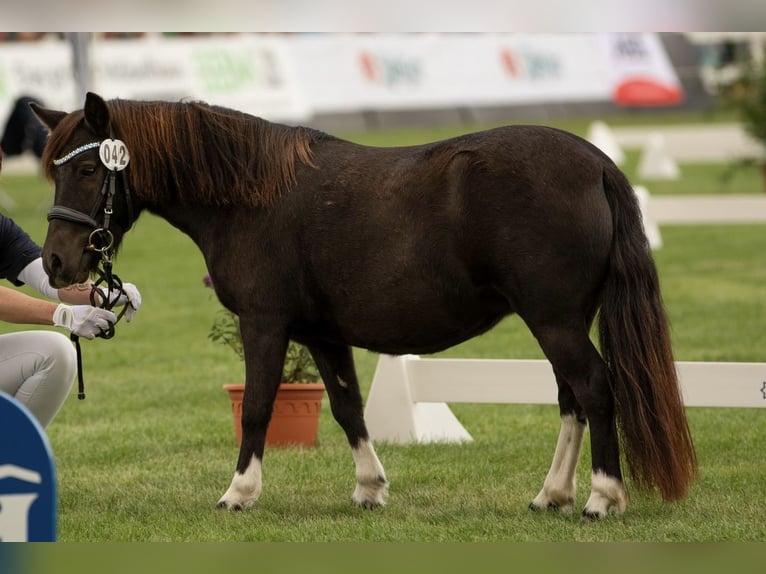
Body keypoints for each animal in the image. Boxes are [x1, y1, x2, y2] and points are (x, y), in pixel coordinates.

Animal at [34, 94, 696, 520]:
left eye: (90, 167)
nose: (57, 264)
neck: (251, 198)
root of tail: (597, 163)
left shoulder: (264, 323)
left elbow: (258, 408)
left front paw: (239, 493)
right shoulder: (324, 334)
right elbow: (347, 407)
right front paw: (370, 488)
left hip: (553, 320)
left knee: (595, 388)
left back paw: (601, 498)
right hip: (562, 320)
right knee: (570, 398)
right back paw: (551, 496)